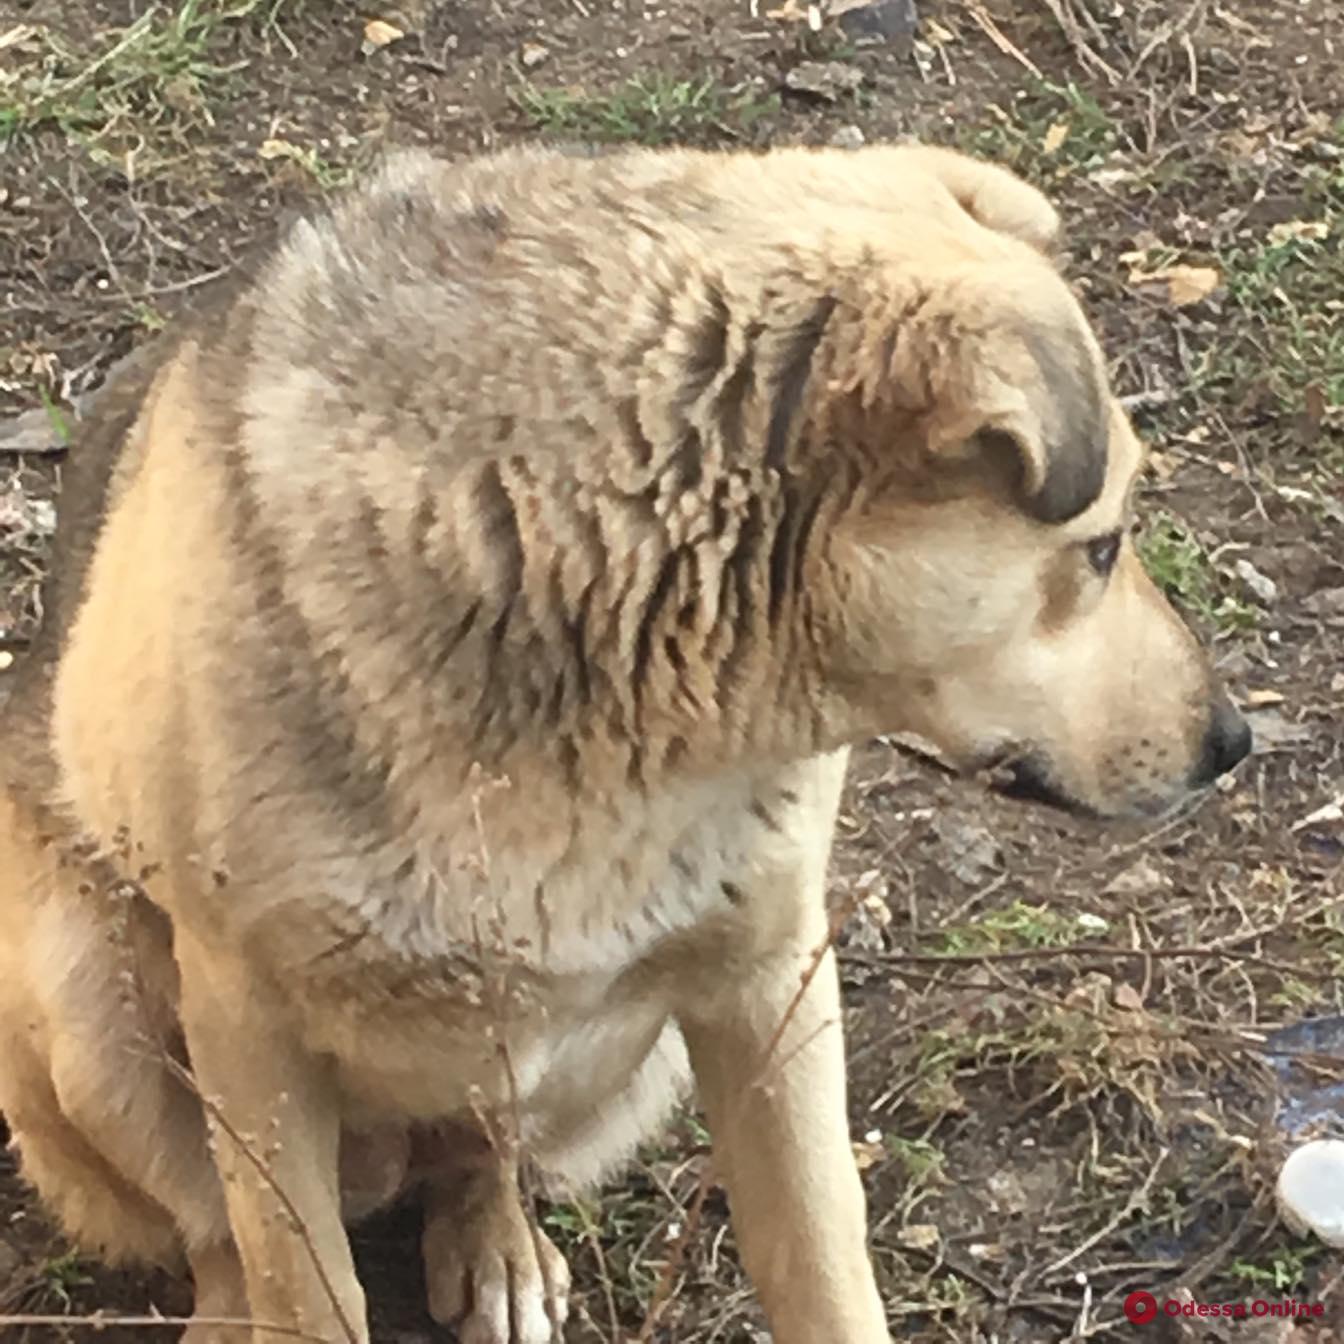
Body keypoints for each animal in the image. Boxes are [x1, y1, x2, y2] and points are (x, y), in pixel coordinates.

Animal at [0, 139, 1247, 1344]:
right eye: (1102, 548)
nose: (1232, 742)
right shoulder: (245, 1019)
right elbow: (302, 1285)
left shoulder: (770, 983)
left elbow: (820, 1268)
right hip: (85, 1002)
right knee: (219, 1232)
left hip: (619, 1055)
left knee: (480, 1155)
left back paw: (495, 1242)